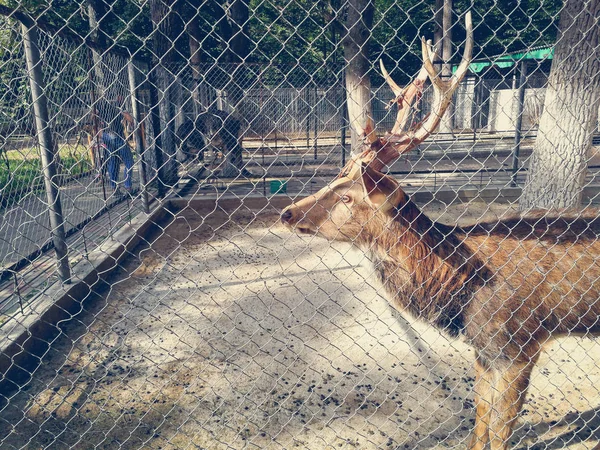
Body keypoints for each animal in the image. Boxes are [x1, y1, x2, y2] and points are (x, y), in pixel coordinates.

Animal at [278, 11, 600, 450]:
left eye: (347, 196)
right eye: (336, 177)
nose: (287, 212)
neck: (461, 292)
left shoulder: (519, 345)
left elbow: (501, 428)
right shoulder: (483, 350)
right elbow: (480, 416)